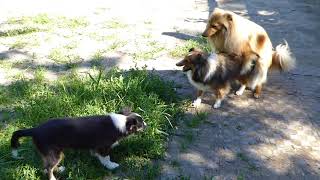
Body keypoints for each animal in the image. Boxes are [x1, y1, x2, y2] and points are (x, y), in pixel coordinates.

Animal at [9, 108, 148, 180]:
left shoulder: (96, 146)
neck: (122, 122)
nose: (147, 124)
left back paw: (60, 169)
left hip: (51, 153)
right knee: (48, 168)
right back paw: (53, 177)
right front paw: (111, 165)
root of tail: (35, 129)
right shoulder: (103, 147)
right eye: (141, 124)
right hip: (54, 153)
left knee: (47, 166)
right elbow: (106, 158)